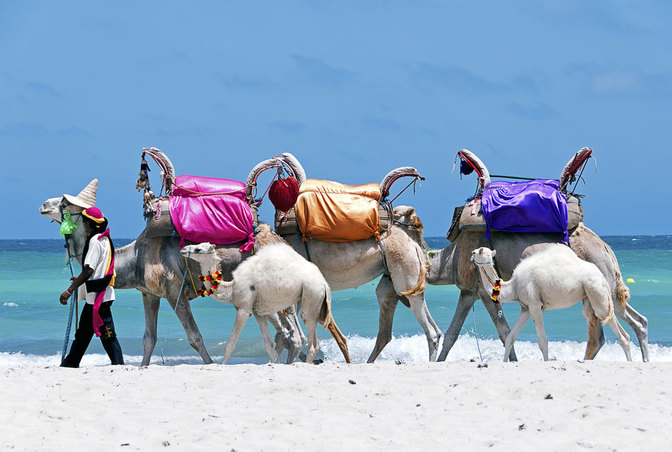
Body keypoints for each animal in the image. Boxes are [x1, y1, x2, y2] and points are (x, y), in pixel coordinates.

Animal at [184, 224, 352, 366]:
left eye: (199, 249)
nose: (184, 249)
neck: (231, 286)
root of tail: (324, 283)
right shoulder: (258, 312)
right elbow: (268, 345)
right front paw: (274, 363)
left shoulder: (244, 308)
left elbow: (231, 343)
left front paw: (223, 366)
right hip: (316, 301)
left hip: (311, 293)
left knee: (310, 337)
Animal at [245, 154, 440, 362]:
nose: (278, 157)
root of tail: (413, 246)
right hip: (395, 280)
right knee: (396, 327)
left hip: (406, 275)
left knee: (431, 332)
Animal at [470, 245, 632, 362]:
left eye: (477, 251)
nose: (470, 255)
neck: (513, 286)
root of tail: (601, 275)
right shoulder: (525, 309)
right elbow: (510, 338)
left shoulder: (535, 305)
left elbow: (542, 341)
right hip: (589, 297)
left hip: (596, 290)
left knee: (615, 327)